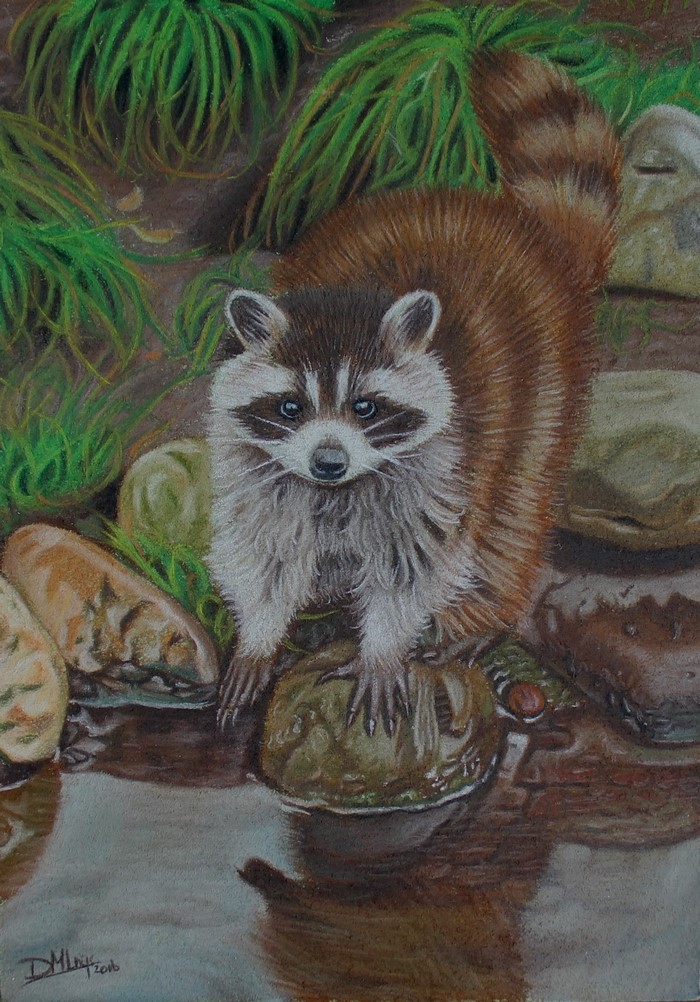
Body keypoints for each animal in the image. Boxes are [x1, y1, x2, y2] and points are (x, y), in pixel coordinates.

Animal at [208, 49, 620, 735]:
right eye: (291, 407)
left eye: (366, 407)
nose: (328, 461)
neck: (339, 492)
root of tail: (525, 229)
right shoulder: (261, 477)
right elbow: (266, 559)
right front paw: (260, 637)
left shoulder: (441, 473)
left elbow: (414, 571)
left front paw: (381, 649)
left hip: (543, 383)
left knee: (512, 513)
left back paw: (484, 614)